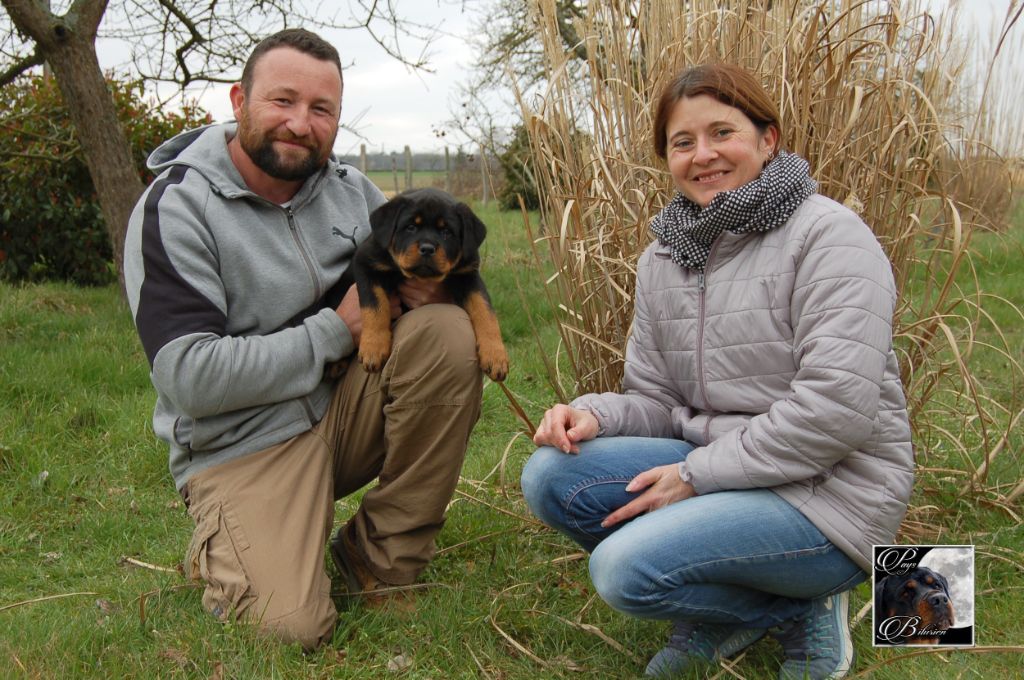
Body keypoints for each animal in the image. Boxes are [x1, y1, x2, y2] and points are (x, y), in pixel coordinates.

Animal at [354, 188, 509, 383]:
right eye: (411, 227)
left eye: (446, 232)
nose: (427, 248)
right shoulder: (366, 265)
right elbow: (374, 307)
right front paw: (373, 348)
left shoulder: (468, 276)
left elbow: (485, 310)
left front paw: (495, 355)